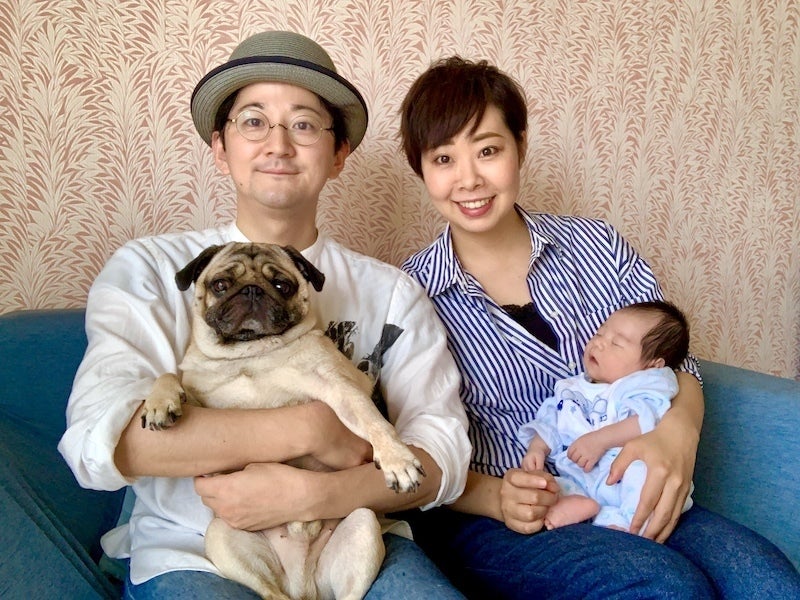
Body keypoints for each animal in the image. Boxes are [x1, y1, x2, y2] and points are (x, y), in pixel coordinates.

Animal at [141, 242, 425, 600]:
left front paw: (397, 460)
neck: (252, 354)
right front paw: (159, 402)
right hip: (222, 534)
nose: (251, 290)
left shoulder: (342, 386)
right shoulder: (201, 401)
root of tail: (302, 581)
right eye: (220, 285)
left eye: (281, 285)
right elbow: (168, 377)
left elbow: (373, 422)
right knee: (271, 592)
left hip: (364, 525)